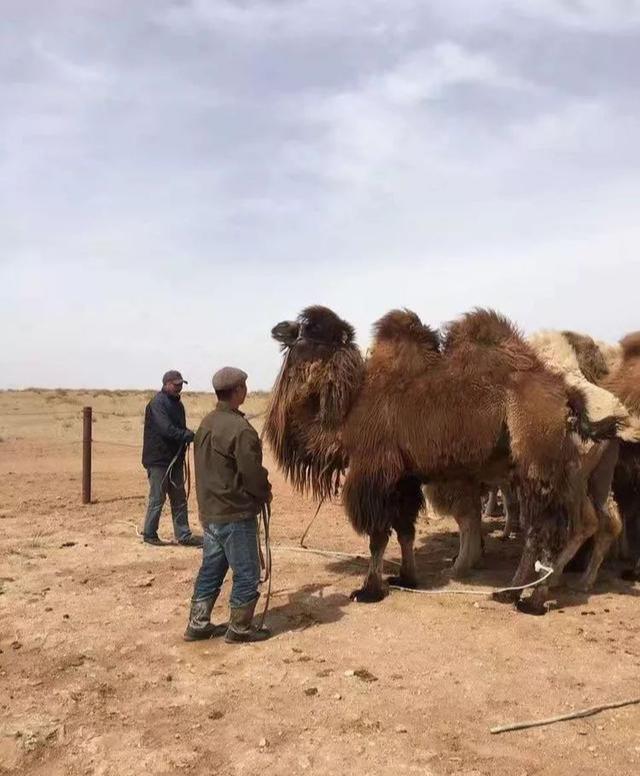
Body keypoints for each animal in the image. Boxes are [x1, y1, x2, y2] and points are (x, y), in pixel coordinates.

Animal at [264, 306, 608, 616]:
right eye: (301, 331)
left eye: (311, 332)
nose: (279, 329)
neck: (346, 417)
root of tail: (567, 396)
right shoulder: (404, 477)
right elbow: (405, 530)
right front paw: (406, 578)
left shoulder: (375, 470)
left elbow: (378, 535)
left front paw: (369, 590)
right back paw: (515, 592)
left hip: (538, 461)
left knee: (543, 529)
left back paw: (528, 600)